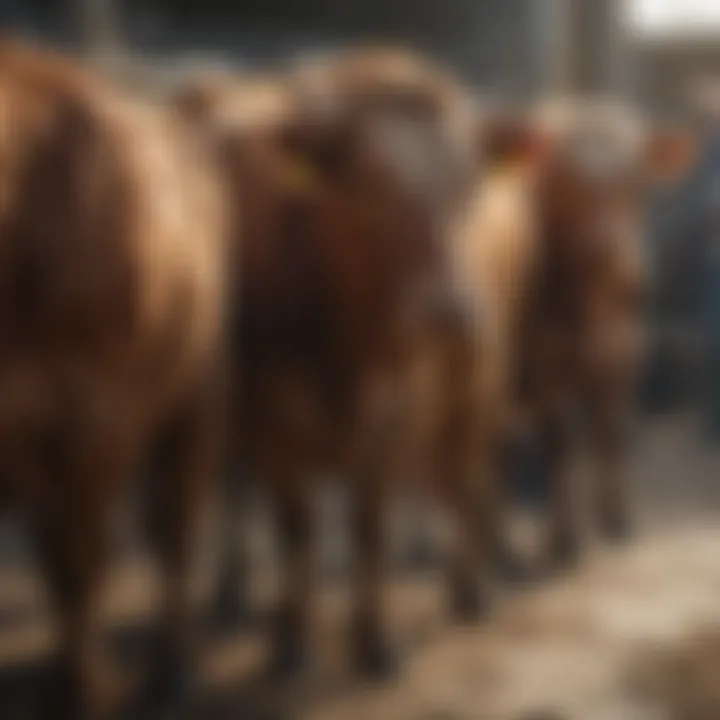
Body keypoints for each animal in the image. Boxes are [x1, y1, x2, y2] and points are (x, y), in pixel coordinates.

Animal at [0, 40, 229, 720]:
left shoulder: (92, 418)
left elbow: (76, 564)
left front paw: (77, 693)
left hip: (194, 392)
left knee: (172, 523)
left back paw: (172, 667)